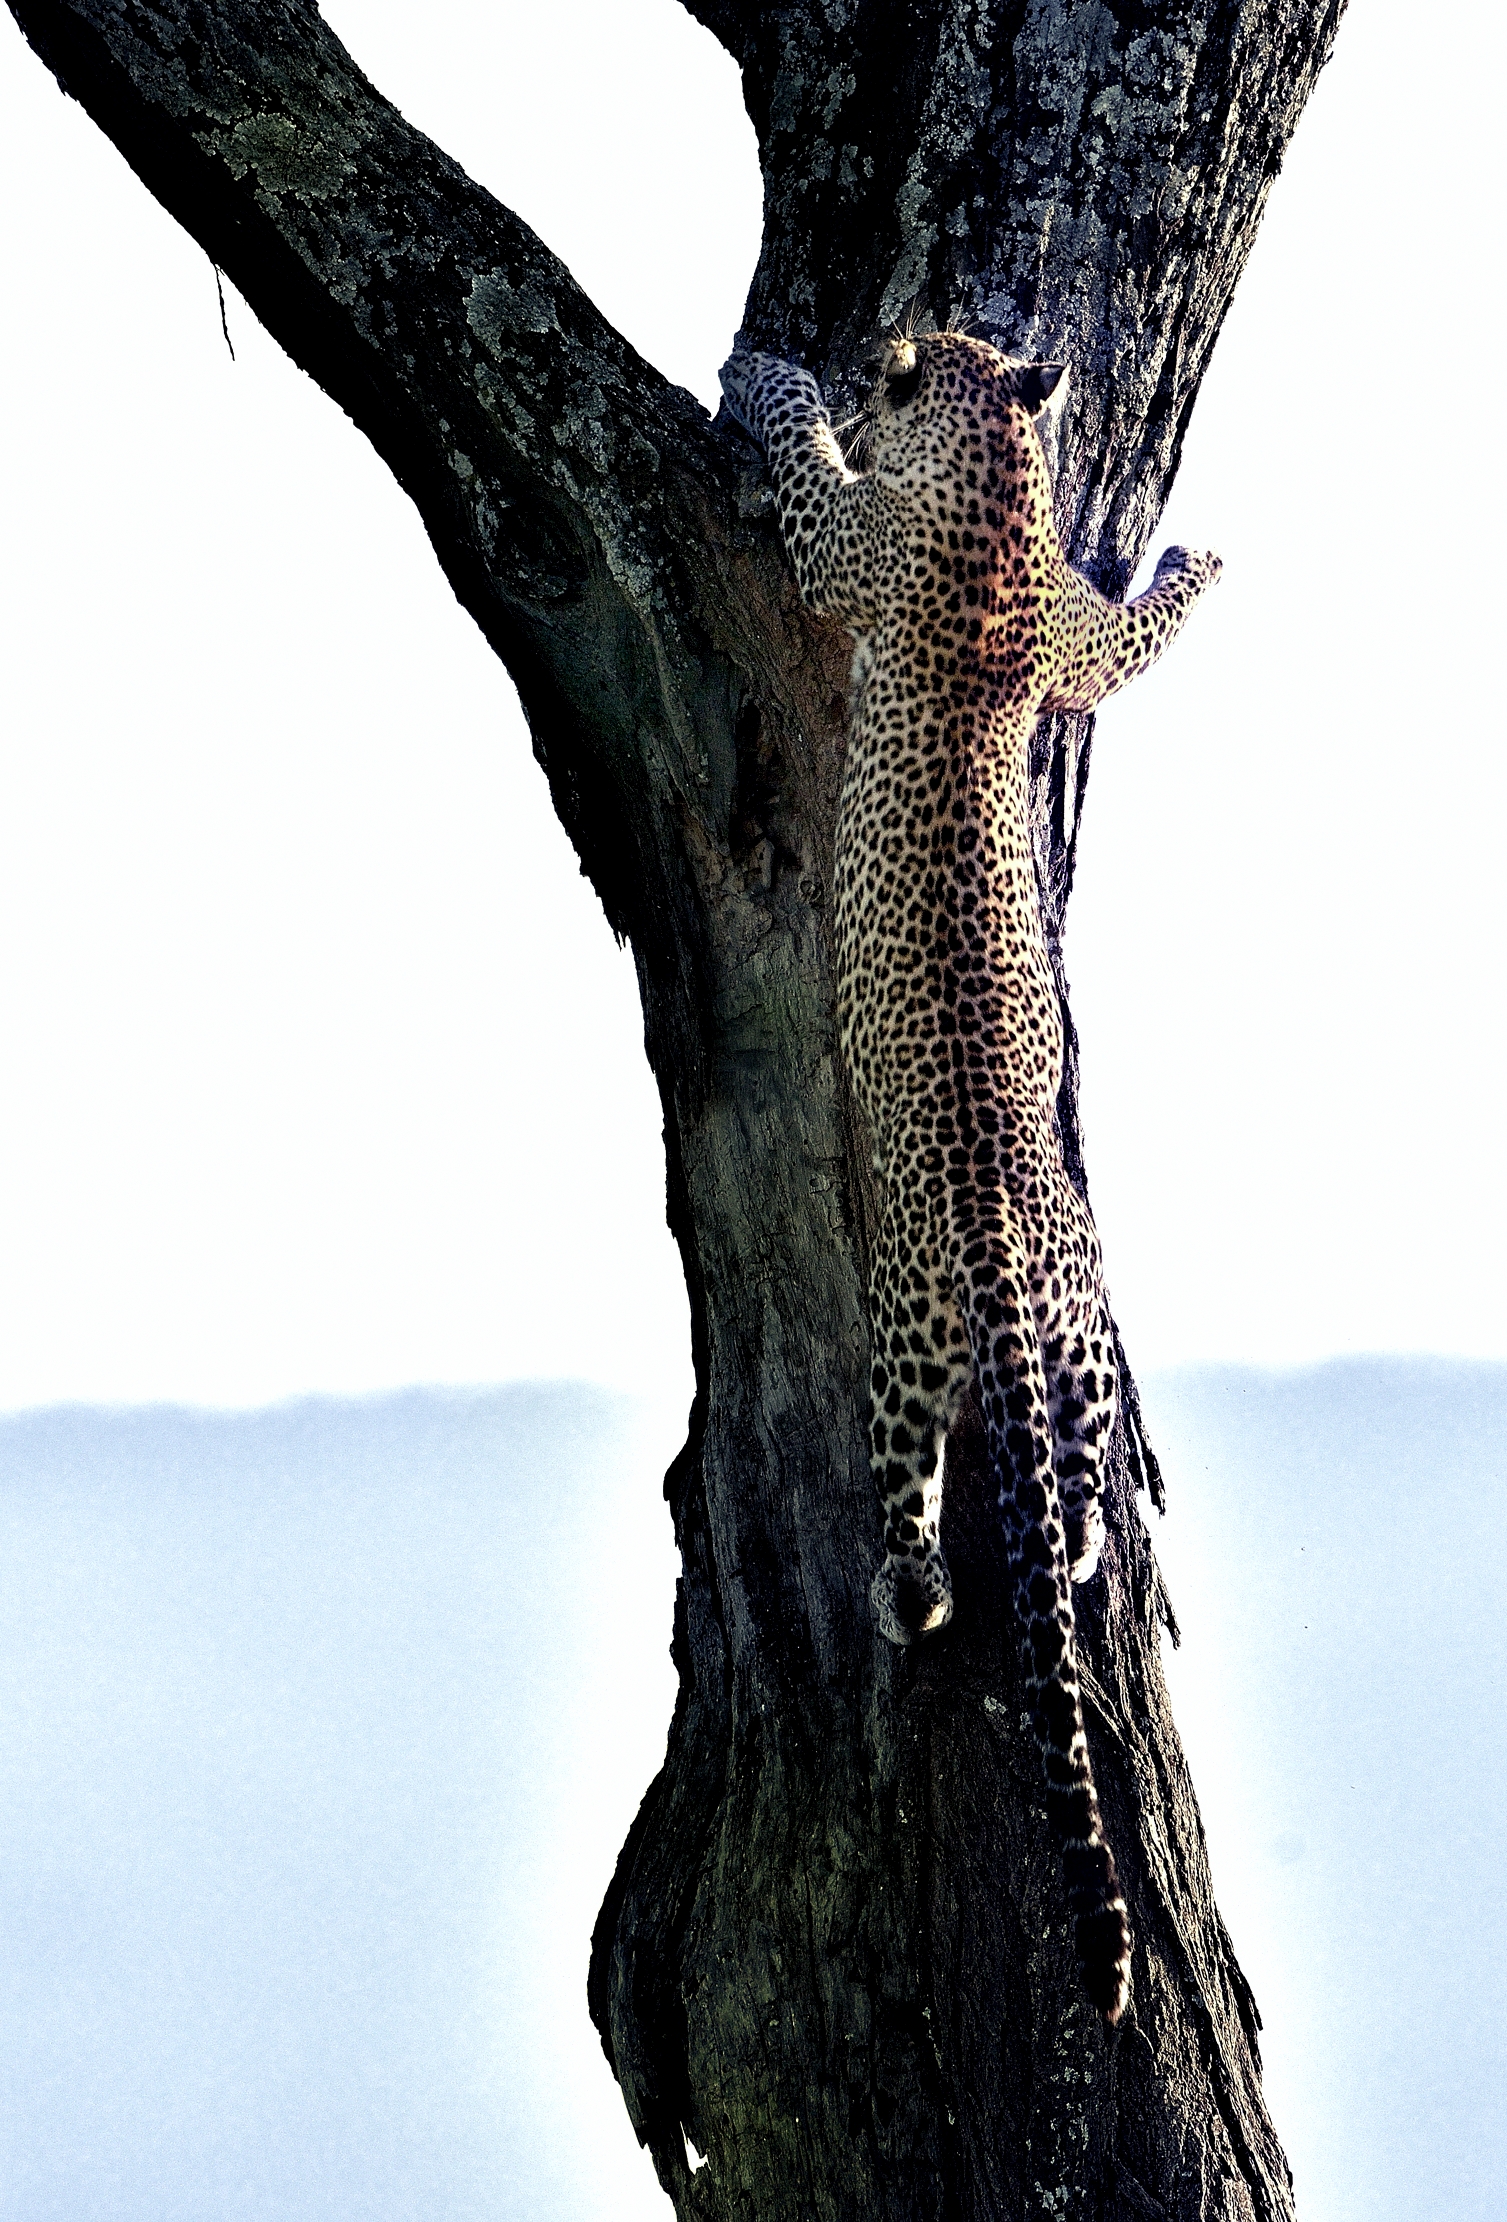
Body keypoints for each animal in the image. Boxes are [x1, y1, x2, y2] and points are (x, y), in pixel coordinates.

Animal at [718, 328, 1221, 2023]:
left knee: (915, 1518)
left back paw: (904, 1595)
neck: (1000, 494)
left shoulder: (842, 558)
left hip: (902, 1339)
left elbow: (805, 478)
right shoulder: (1073, 644)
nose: (874, 359)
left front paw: (770, 373)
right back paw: (1076, 1545)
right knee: (1066, 1484)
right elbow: (1132, 639)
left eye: (904, 362)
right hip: (1078, 1351)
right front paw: (1195, 559)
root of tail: (1009, 1241)